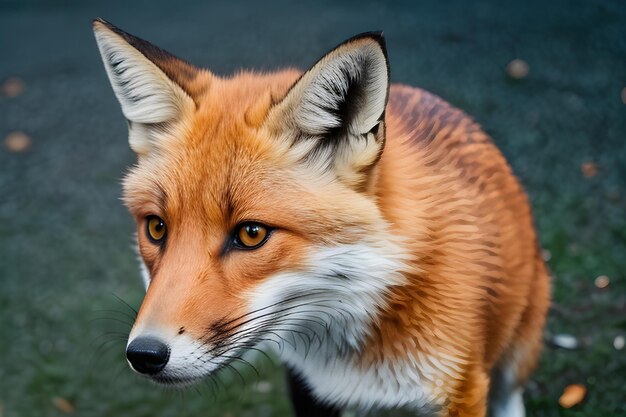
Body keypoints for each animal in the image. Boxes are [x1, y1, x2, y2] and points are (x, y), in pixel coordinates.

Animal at [92, 17, 544, 416]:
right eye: (156, 228)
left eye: (251, 233)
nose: (144, 354)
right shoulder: (311, 391)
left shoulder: (462, 389)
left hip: (519, 342)